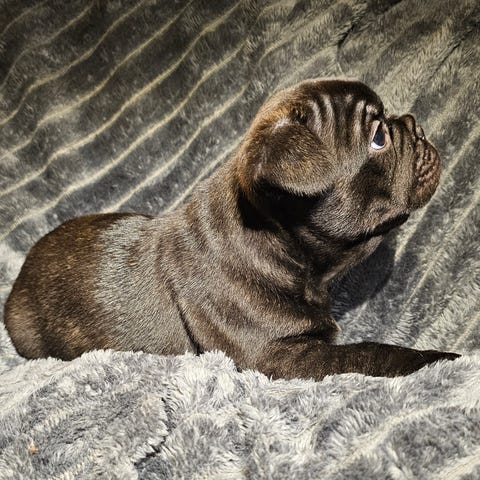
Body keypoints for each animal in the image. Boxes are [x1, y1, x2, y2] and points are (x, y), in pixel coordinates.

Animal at [4, 79, 459, 380]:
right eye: (379, 137)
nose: (416, 124)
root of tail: (21, 275)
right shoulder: (278, 358)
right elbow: (367, 353)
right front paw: (436, 360)